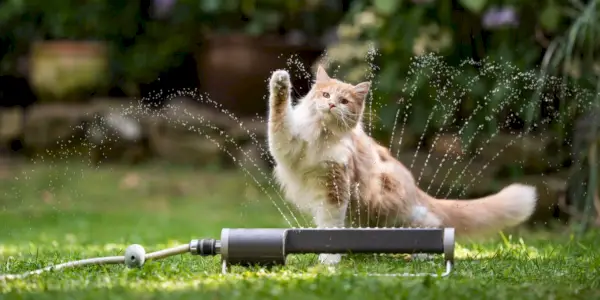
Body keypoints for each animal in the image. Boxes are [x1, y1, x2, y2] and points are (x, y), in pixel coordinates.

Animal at [268, 65, 540, 264]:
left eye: (344, 101)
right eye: (325, 95)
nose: (332, 105)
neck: (322, 135)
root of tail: (415, 187)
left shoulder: (336, 188)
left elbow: (330, 228)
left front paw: (329, 259)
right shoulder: (287, 145)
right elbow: (278, 117)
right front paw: (280, 83)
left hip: (391, 208)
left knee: (432, 223)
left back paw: (425, 253)